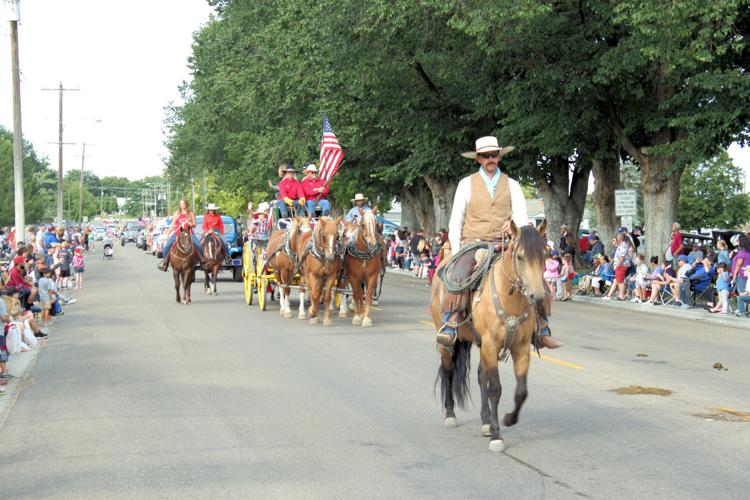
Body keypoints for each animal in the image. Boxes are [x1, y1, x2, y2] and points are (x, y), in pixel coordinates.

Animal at [432, 221, 548, 452]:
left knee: (480, 375)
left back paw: (485, 421)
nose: (537, 296)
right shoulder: (491, 345)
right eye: (520, 256)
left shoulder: (520, 348)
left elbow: (521, 392)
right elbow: (495, 388)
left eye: (545, 254)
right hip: (447, 344)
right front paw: (496, 436)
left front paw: (508, 419)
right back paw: (450, 414)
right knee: (449, 372)